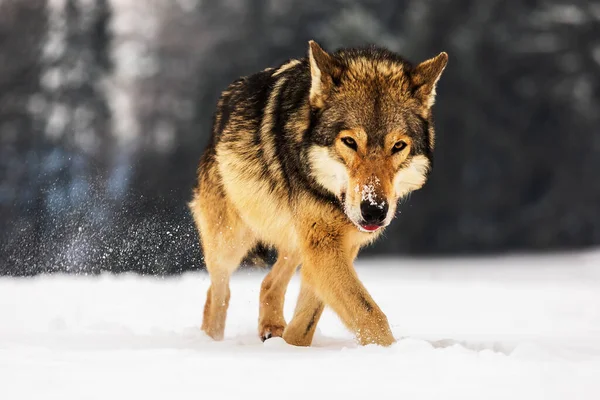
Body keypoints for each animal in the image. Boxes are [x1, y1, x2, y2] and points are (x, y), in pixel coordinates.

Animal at [188, 41, 446, 346]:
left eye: (398, 146)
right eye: (349, 141)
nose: (374, 211)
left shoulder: (339, 244)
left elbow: (309, 317)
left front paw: (292, 346)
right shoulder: (323, 242)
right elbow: (370, 315)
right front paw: (388, 351)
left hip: (293, 241)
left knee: (267, 284)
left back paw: (272, 330)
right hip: (230, 241)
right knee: (218, 292)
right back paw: (212, 342)